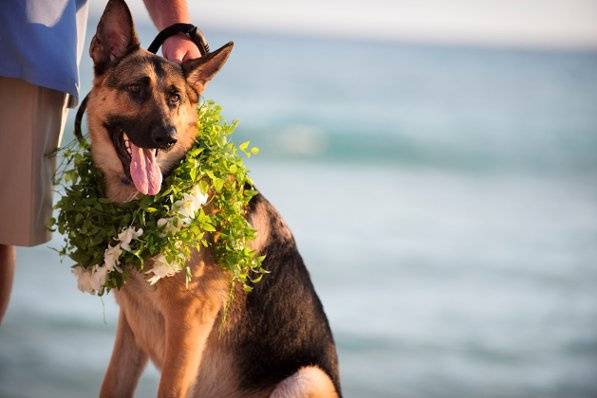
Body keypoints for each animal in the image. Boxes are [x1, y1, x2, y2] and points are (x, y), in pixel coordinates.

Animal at [86, 1, 342, 396]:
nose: (167, 137)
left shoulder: (188, 324)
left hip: (307, 377)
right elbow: (112, 383)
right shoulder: (132, 325)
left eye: (174, 98)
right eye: (136, 89)